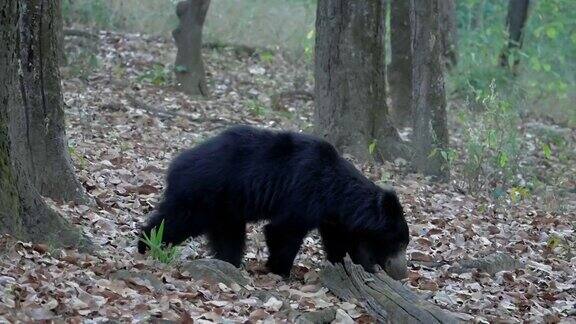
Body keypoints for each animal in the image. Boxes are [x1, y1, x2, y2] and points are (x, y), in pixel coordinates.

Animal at [140, 125, 410, 280]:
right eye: (399, 243)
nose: (403, 273)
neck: (336, 192)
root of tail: (175, 165)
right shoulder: (304, 192)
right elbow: (284, 230)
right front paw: (280, 270)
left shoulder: (332, 216)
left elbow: (340, 241)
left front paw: (359, 267)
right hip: (205, 193)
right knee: (177, 220)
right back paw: (147, 243)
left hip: (226, 206)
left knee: (228, 235)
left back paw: (229, 262)